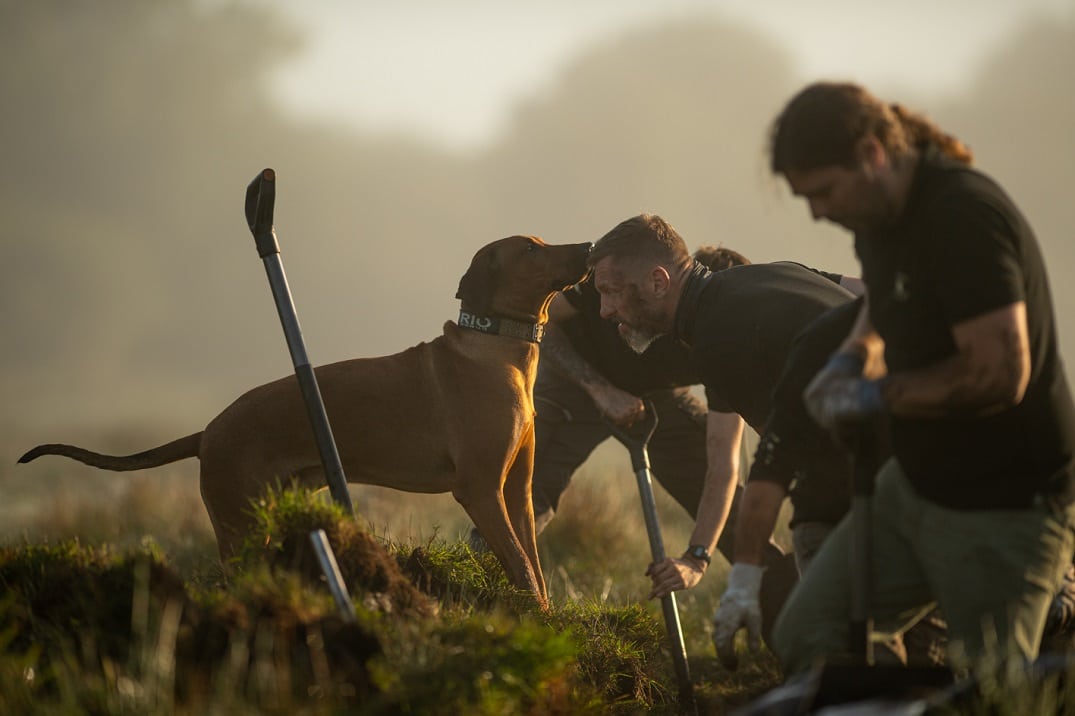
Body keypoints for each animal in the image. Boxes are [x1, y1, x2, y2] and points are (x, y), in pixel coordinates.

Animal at [18, 236, 589, 606]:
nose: (587, 246)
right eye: (531, 249)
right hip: (240, 527)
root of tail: (208, 432)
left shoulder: (517, 488)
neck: (497, 350)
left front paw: (547, 615)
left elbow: (532, 562)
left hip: (264, 519)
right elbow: (519, 565)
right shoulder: (478, 488)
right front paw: (536, 617)